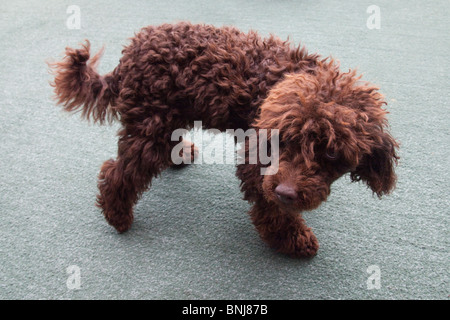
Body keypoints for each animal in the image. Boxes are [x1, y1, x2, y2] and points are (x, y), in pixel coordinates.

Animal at [49, 22, 400, 258]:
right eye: (284, 140)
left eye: (331, 154)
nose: (287, 193)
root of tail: (127, 59)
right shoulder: (258, 163)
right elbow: (270, 210)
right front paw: (293, 239)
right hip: (151, 124)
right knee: (117, 173)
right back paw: (117, 216)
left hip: (168, 115)